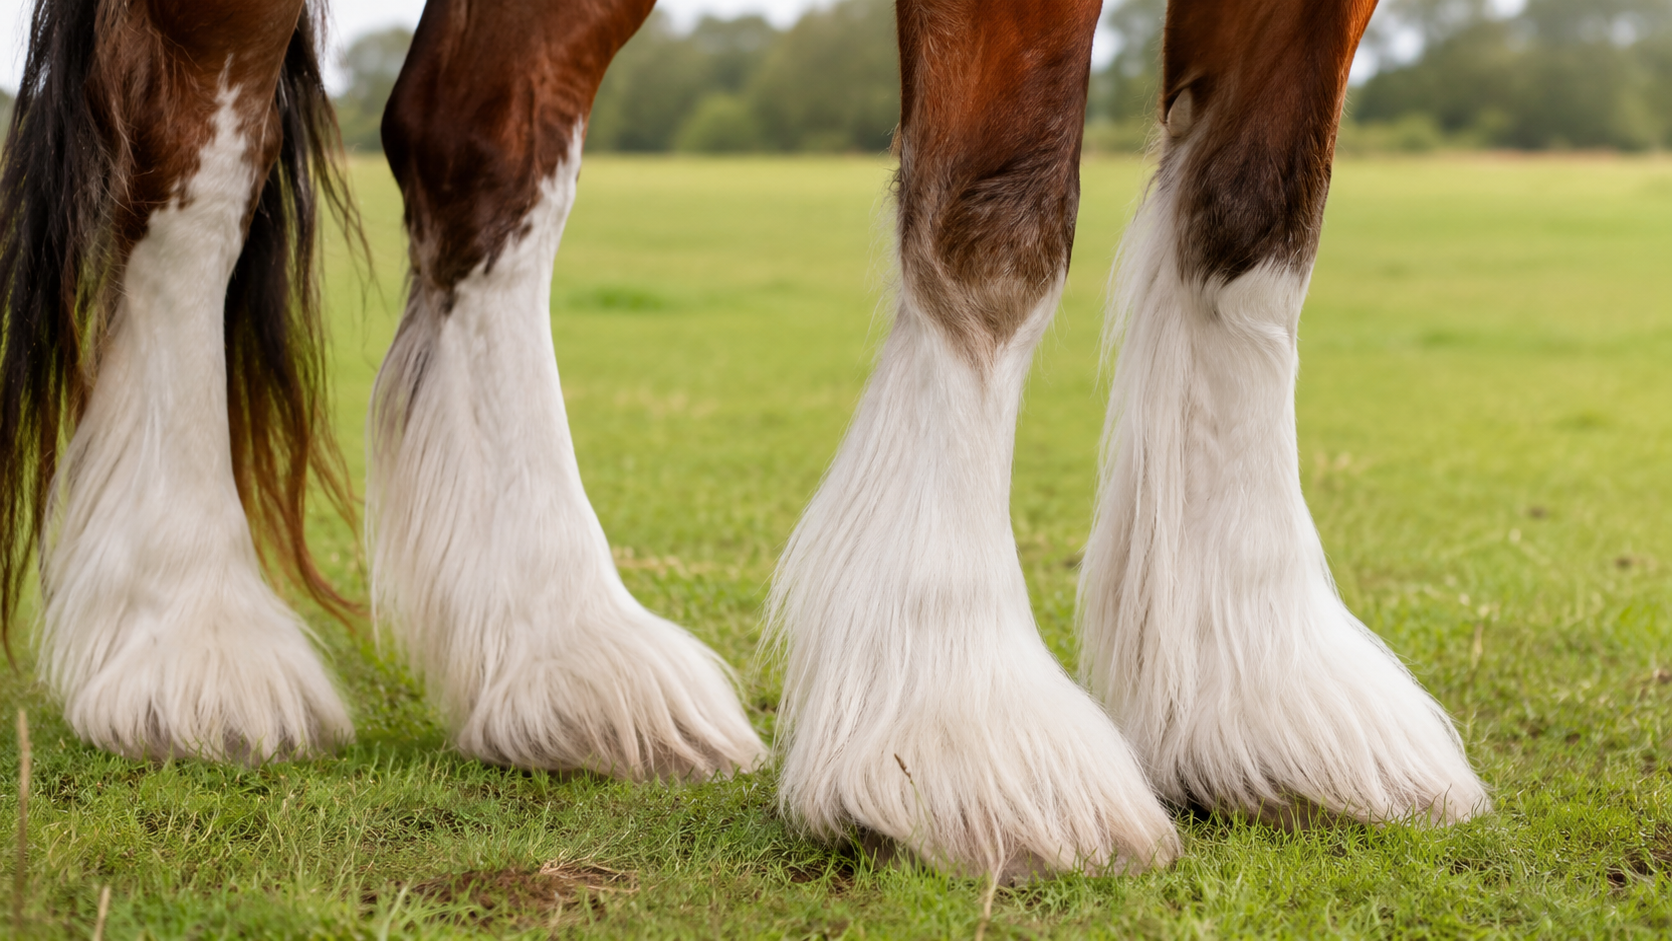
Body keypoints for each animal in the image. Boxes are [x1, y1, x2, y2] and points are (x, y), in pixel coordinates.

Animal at [0, 0, 1489, 881]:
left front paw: (1264, 689)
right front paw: (959, 718)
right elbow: (996, 210)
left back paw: (564, 651)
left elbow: (1255, 215)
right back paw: (179, 634)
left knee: (480, 135)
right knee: (192, 150)